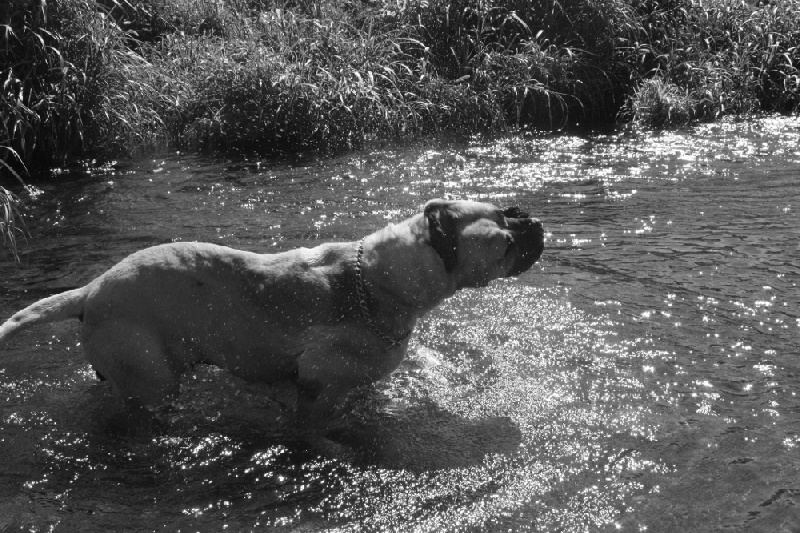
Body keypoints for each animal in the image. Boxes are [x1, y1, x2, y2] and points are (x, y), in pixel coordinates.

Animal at [0, 200, 544, 440]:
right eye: (502, 245)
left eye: (510, 209)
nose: (534, 221)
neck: (379, 278)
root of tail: (90, 290)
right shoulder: (319, 387)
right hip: (150, 377)